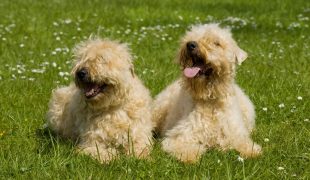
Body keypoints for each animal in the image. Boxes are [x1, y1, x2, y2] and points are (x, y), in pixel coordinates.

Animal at [153, 23, 262, 163]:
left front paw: (252, 151)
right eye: (191, 36)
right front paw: (190, 156)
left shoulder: (234, 132)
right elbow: (183, 147)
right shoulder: (180, 135)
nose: (190, 44)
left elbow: (243, 143)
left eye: (217, 43)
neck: (210, 100)